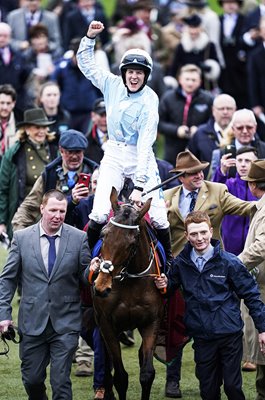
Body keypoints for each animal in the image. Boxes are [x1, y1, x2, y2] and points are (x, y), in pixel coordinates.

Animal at [92, 188, 164, 400]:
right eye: (103, 234)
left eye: (132, 243)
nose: (101, 286)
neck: (131, 280)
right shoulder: (106, 323)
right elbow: (120, 377)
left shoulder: (152, 322)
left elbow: (147, 373)